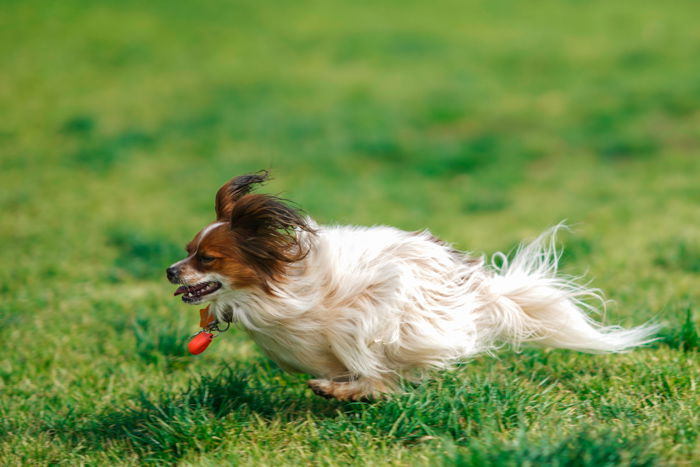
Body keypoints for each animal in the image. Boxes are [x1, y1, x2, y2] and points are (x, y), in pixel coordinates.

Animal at [167, 172, 660, 402]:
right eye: (188, 250)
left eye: (206, 259)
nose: (171, 271)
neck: (273, 287)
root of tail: (479, 292)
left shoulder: (361, 318)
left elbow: (377, 374)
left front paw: (347, 388)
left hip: (391, 313)